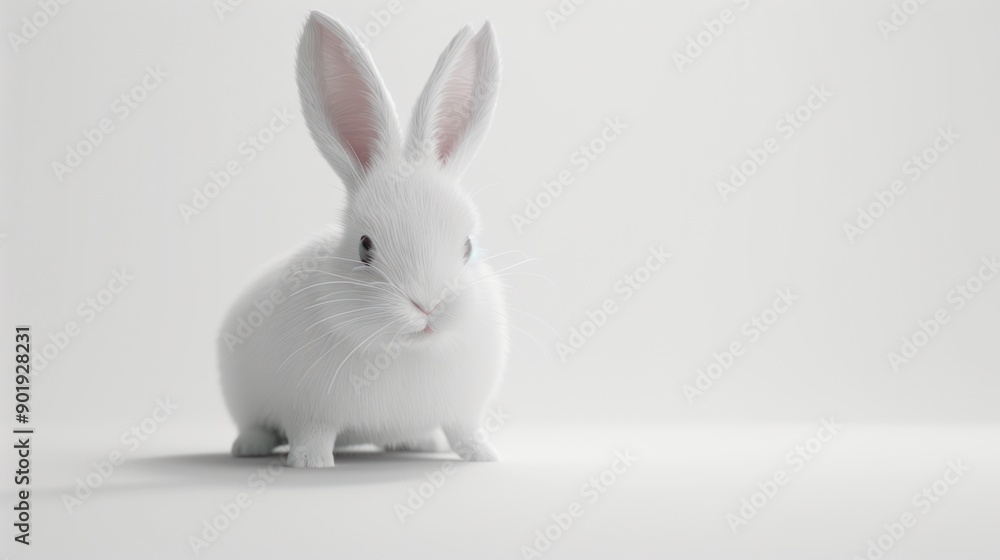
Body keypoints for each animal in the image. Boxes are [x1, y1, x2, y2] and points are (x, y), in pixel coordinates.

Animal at [217, 11, 508, 468]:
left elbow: (466, 432)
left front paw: (482, 455)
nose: (428, 306)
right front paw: (309, 463)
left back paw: (421, 443)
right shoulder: (309, 412)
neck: (405, 349)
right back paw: (250, 447)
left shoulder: (464, 412)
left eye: (468, 246)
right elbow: (313, 434)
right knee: (254, 425)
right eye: (364, 246)